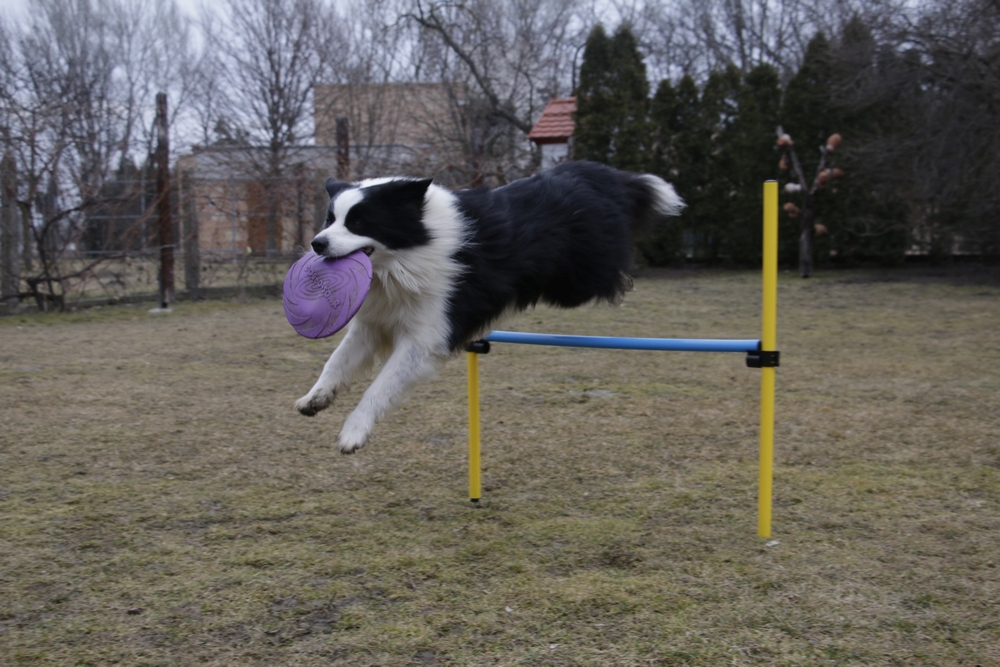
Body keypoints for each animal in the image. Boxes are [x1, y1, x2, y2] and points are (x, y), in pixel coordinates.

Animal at [297, 160, 684, 453]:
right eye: (329, 219)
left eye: (359, 222)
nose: (317, 243)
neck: (405, 256)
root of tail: (594, 172)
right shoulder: (373, 322)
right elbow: (337, 361)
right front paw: (315, 397)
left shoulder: (426, 337)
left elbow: (380, 385)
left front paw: (353, 432)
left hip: (578, 280)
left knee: (610, 274)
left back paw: (625, 282)